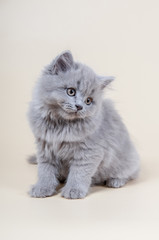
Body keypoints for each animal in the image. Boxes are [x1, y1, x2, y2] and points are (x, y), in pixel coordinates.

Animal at [27, 50, 139, 199]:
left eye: (88, 101)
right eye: (71, 91)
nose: (79, 106)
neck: (61, 125)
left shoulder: (88, 152)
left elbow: (79, 173)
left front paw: (73, 190)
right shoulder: (45, 149)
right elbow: (45, 171)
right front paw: (42, 188)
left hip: (128, 161)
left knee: (130, 173)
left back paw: (115, 181)